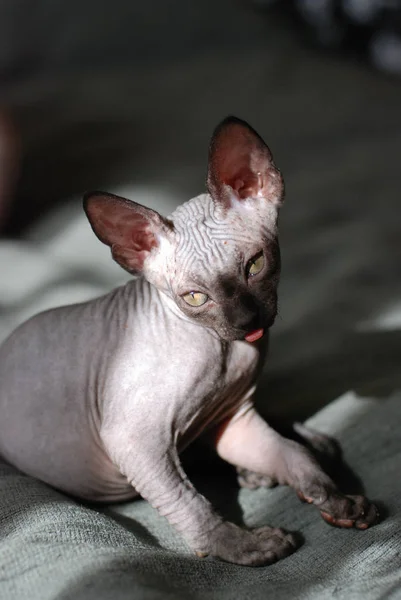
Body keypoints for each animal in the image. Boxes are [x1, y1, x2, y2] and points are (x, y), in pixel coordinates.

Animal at [0, 118, 378, 568]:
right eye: (195, 298)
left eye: (255, 265)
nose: (247, 321)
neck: (227, 352)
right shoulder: (134, 440)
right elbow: (189, 503)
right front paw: (243, 547)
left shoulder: (234, 420)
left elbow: (292, 456)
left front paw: (338, 499)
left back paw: (301, 445)